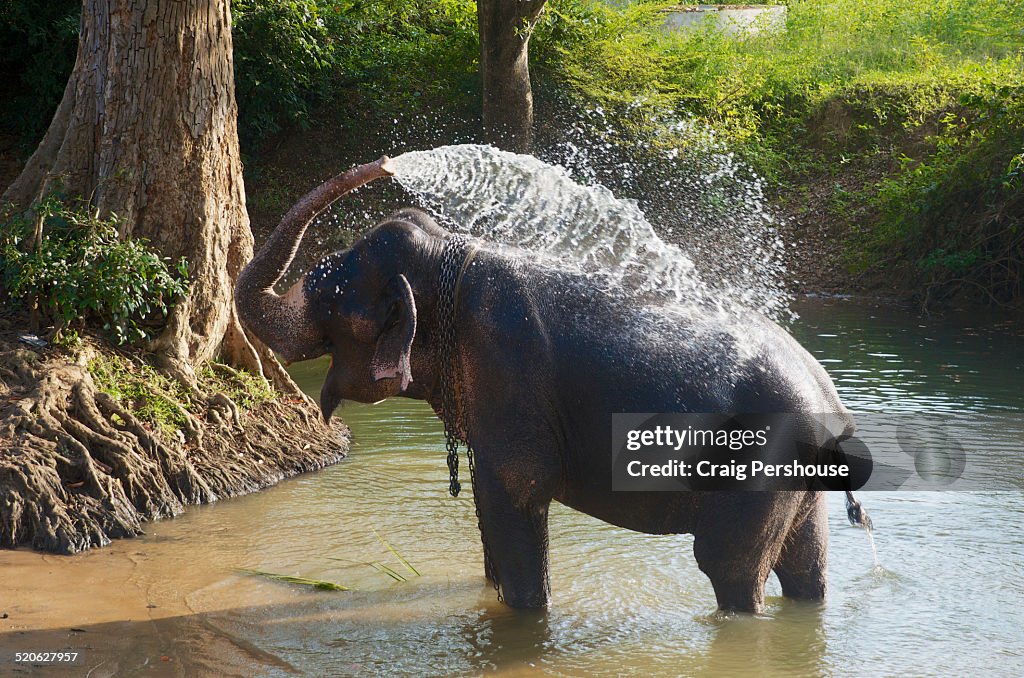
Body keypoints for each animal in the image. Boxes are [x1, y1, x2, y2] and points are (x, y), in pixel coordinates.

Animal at [235, 159, 868, 614]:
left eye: (329, 297)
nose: (386, 164)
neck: (449, 258)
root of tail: (833, 406)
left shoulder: (507, 374)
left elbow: (513, 492)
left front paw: (524, 620)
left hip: (759, 464)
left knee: (729, 568)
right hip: (797, 482)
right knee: (806, 566)